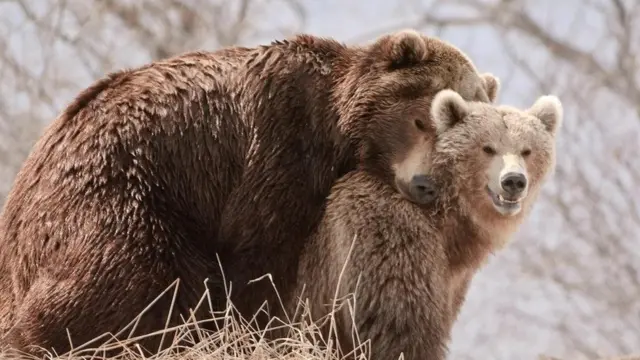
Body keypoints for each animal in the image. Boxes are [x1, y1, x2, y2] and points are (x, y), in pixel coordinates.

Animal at [0, 29, 498, 356]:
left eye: (464, 137)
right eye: (425, 119)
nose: (426, 185)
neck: (337, 132)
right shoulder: (277, 141)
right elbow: (259, 253)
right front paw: (255, 330)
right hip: (117, 195)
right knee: (130, 273)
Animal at [292, 87, 564, 360]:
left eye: (527, 150)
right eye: (487, 148)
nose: (513, 181)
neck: (447, 217)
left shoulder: (455, 280)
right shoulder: (388, 232)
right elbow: (401, 323)